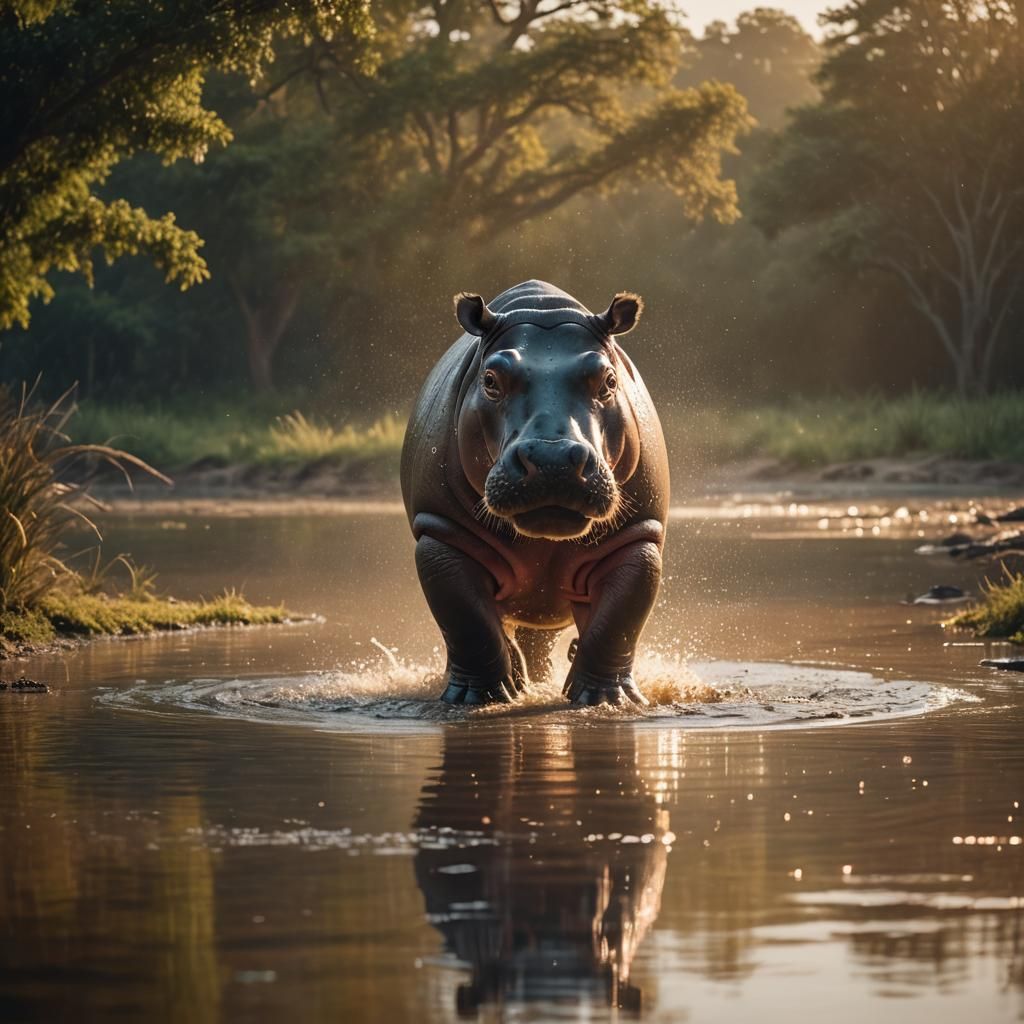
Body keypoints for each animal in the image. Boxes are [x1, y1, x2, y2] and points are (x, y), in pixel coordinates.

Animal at [401, 280, 669, 706]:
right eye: (490, 379)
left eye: (609, 381)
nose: (552, 459)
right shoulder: (440, 533)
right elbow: (467, 621)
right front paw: (478, 699)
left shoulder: (638, 534)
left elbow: (617, 623)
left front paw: (605, 700)